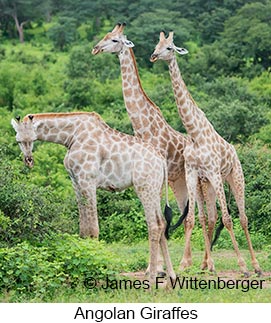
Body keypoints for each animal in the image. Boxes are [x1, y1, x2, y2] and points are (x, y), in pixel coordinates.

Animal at [11, 112, 176, 284]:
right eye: (18, 141)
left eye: (29, 139)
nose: (28, 160)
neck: (70, 136)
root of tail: (161, 160)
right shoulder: (76, 182)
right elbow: (83, 229)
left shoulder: (88, 180)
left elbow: (93, 228)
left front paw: (96, 270)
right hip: (156, 189)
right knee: (162, 222)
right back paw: (171, 276)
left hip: (144, 187)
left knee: (154, 225)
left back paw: (151, 278)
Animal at [92, 22, 218, 274]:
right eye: (106, 35)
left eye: (114, 40)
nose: (95, 49)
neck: (143, 125)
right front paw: (155, 267)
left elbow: (158, 217)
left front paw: (156, 267)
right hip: (179, 183)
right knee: (189, 214)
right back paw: (198, 261)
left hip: (198, 181)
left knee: (204, 214)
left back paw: (201, 262)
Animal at [151, 31, 264, 276]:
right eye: (157, 45)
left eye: (170, 47)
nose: (153, 56)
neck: (194, 132)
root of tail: (235, 152)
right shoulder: (193, 173)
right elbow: (193, 219)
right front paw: (186, 264)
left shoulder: (213, 172)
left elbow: (228, 219)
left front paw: (243, 266)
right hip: (209, 184)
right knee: (210, 218)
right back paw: (206, 264)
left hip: (233, 178)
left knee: (242, 218)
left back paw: (256, 266)